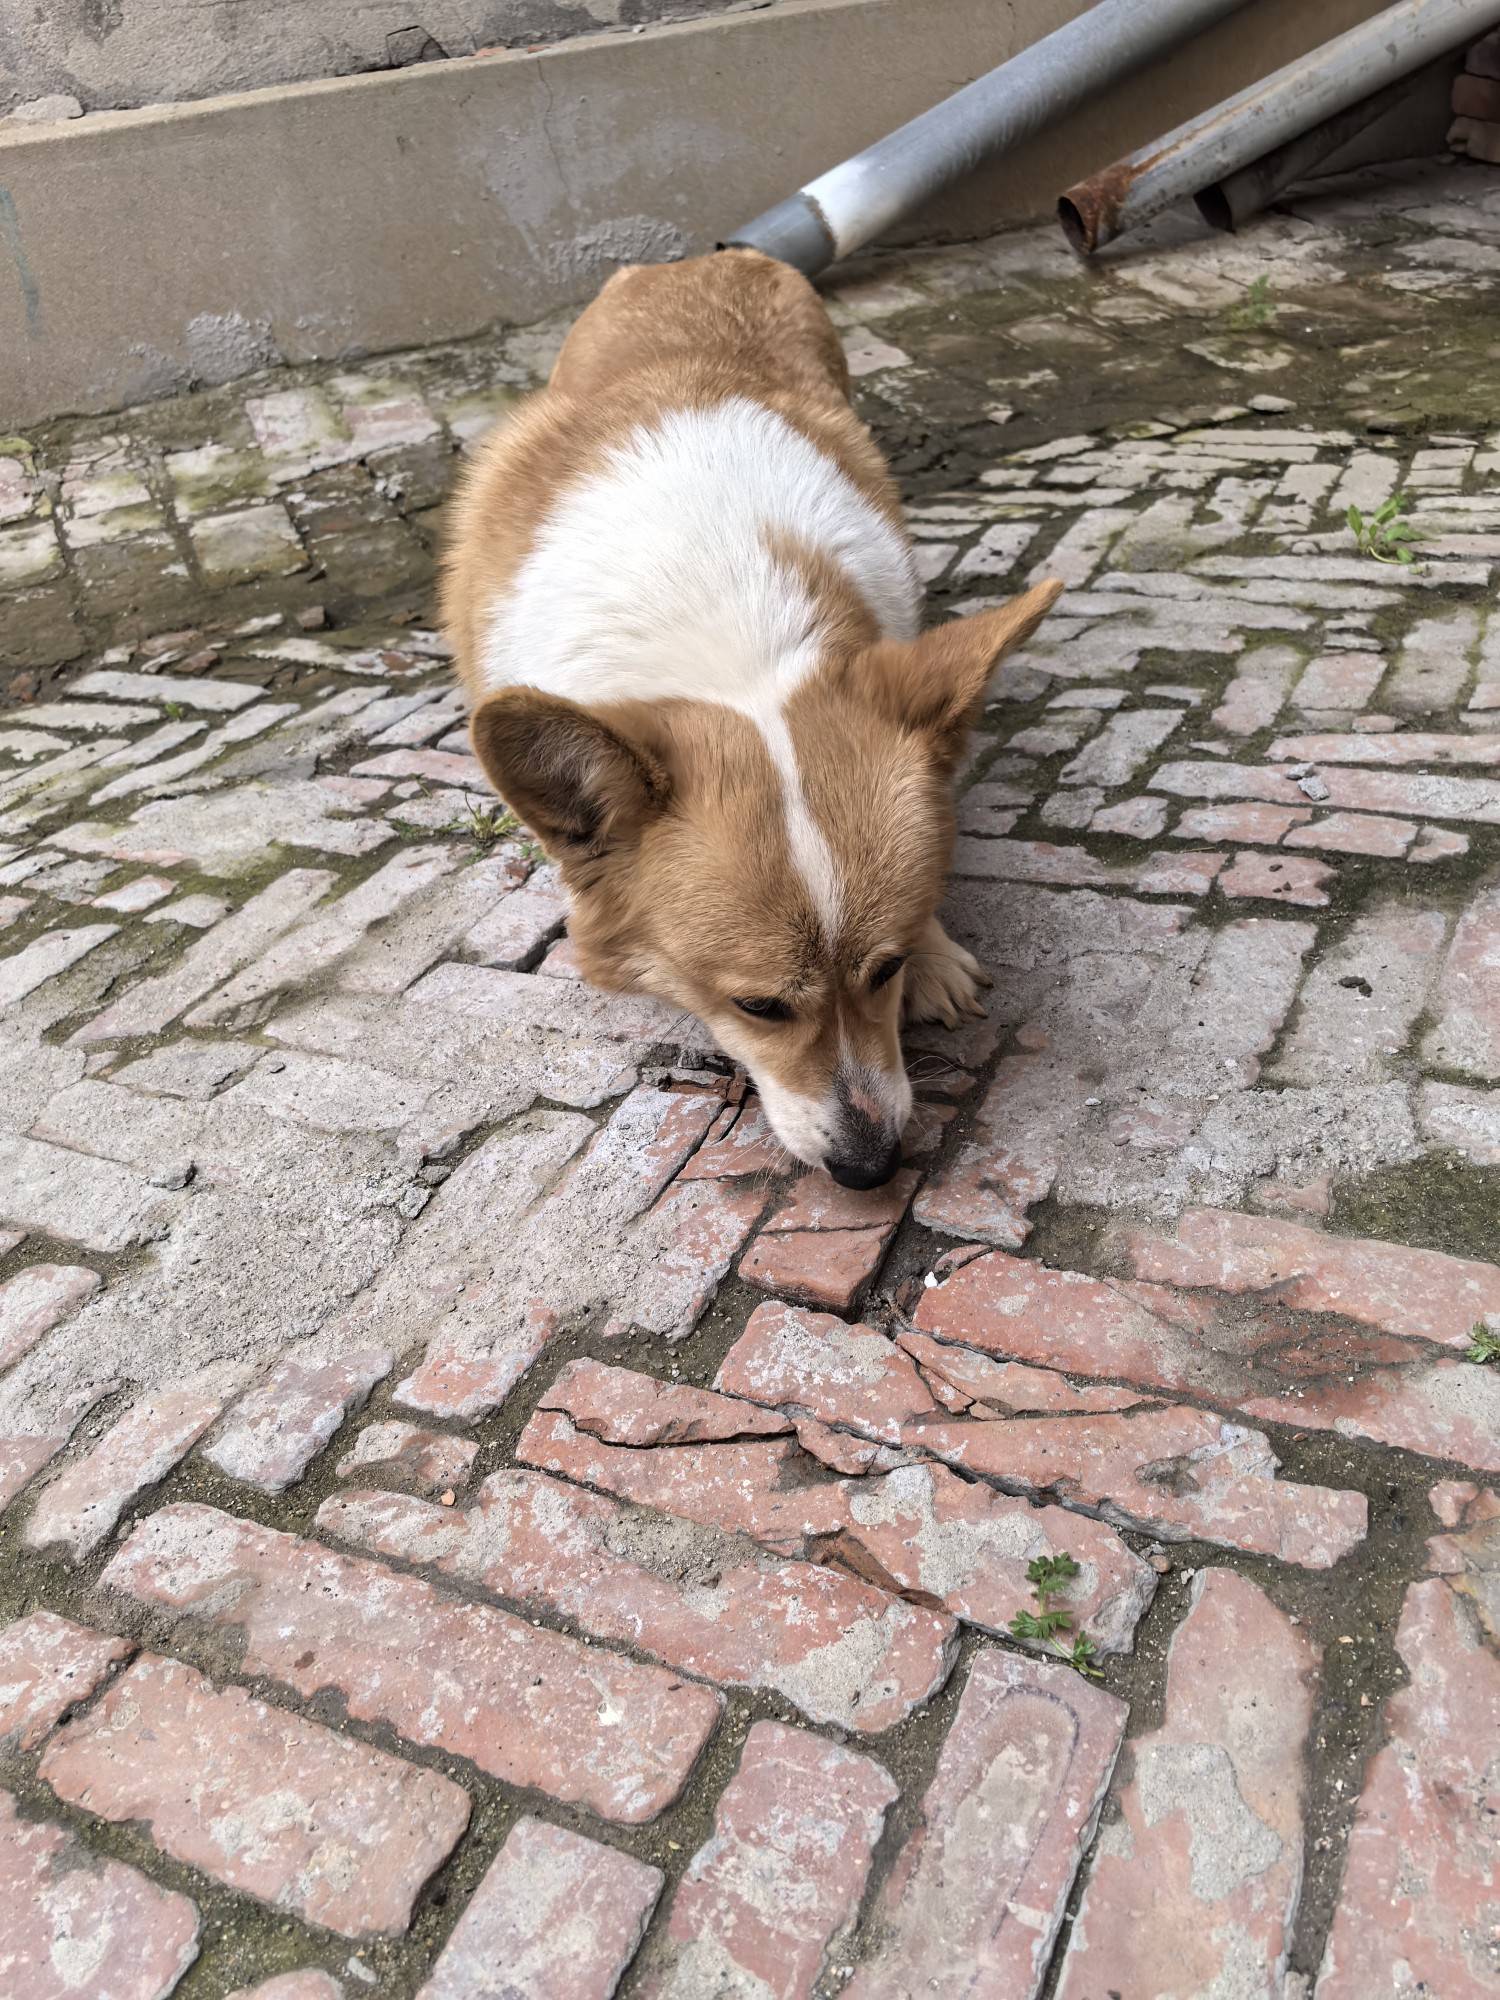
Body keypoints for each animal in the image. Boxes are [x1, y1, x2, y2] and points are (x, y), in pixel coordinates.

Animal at [443, 249, 1062, 1189]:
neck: (718, 633)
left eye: (885, 967)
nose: (872, 1170)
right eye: (758, 1006)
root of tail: (696, 257)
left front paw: (936, 957)